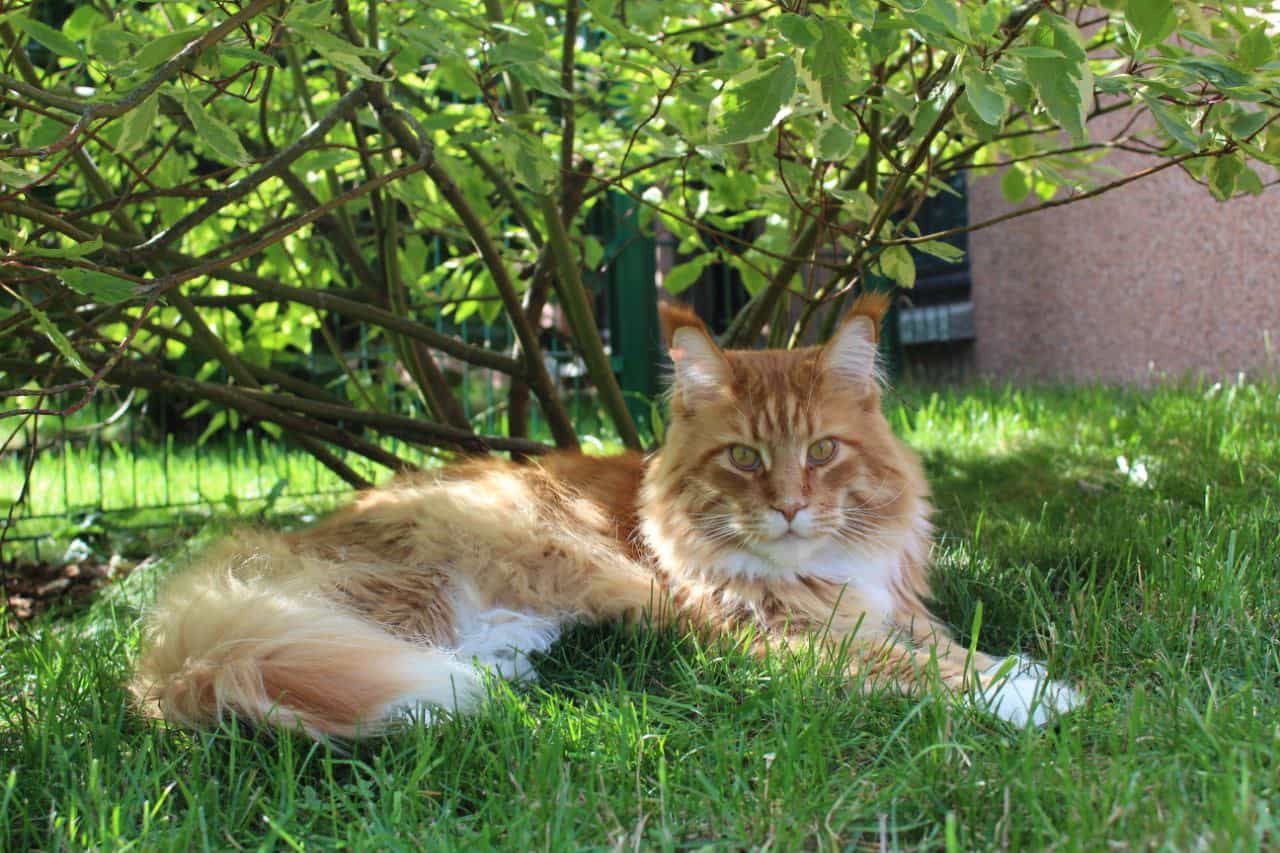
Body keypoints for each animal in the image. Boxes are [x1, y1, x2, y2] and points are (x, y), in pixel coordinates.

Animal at [132, 295, 1081, 738]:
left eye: (821, 451)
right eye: (744, 458)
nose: (789, 508)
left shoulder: (888, 606)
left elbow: (951, 647)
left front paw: (1021, 669)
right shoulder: (776, 636)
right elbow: (923, 672)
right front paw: (1034, 696)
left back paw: (510, 662)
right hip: (503, 561)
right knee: (377, 650)